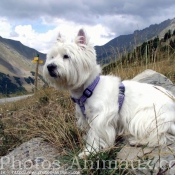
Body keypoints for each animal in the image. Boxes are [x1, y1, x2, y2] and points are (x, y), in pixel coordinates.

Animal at [43, 29, 175, 159]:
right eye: (52, 57)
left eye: (66, 56)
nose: (50, 67)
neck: (89, 89)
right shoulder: (86, 117)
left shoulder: (100, 118)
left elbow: (95, 136)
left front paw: (88, 152)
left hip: (145, 117)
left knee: (159, 137)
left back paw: (136, 140)